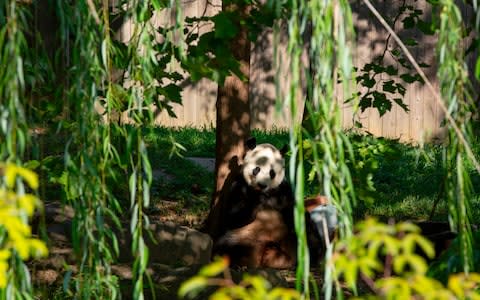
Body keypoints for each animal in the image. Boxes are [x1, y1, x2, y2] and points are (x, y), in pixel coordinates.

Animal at [212, 137, 320, 268]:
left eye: (272, 173)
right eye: (256, 169)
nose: (262, 185)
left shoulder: (283, 190)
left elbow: (294, 211)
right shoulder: (239, 184)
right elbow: (232, 217)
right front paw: (258, 199)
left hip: (287, 238)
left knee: (306, 239)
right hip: (239, 237)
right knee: (225, 248)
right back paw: (237, 263)